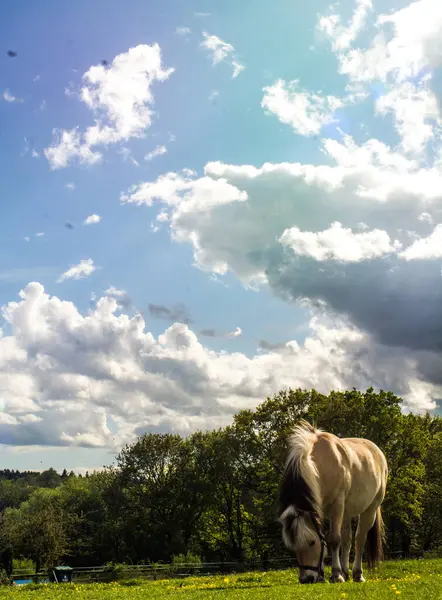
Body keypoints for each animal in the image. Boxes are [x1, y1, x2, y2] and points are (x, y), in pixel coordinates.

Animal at [278, 420, 388, 584]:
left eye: (311, 542)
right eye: (294, 546)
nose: (306, 579)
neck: (319, 465)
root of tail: (377, 451)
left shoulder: (337, 505)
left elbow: (334, 539)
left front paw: (336, 574)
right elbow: (330, 538)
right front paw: (326, 574)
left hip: (370, 509)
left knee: (360, 538)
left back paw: (357, 574)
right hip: (346, 513)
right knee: (347, 539)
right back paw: (346, 572)